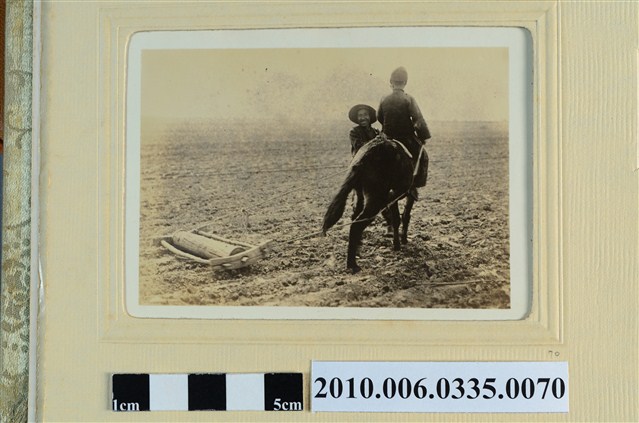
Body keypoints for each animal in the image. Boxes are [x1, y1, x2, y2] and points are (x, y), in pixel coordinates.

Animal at [322, 137, 420, 273]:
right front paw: (403, 240)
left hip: (360, 195)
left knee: (355, 217)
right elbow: (405, 216)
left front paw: (397, 244)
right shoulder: (404, 194)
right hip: (375, 200)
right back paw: (352, 264)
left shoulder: (393, 198)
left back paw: (357, 249)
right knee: (356, 225)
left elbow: (396, 218)